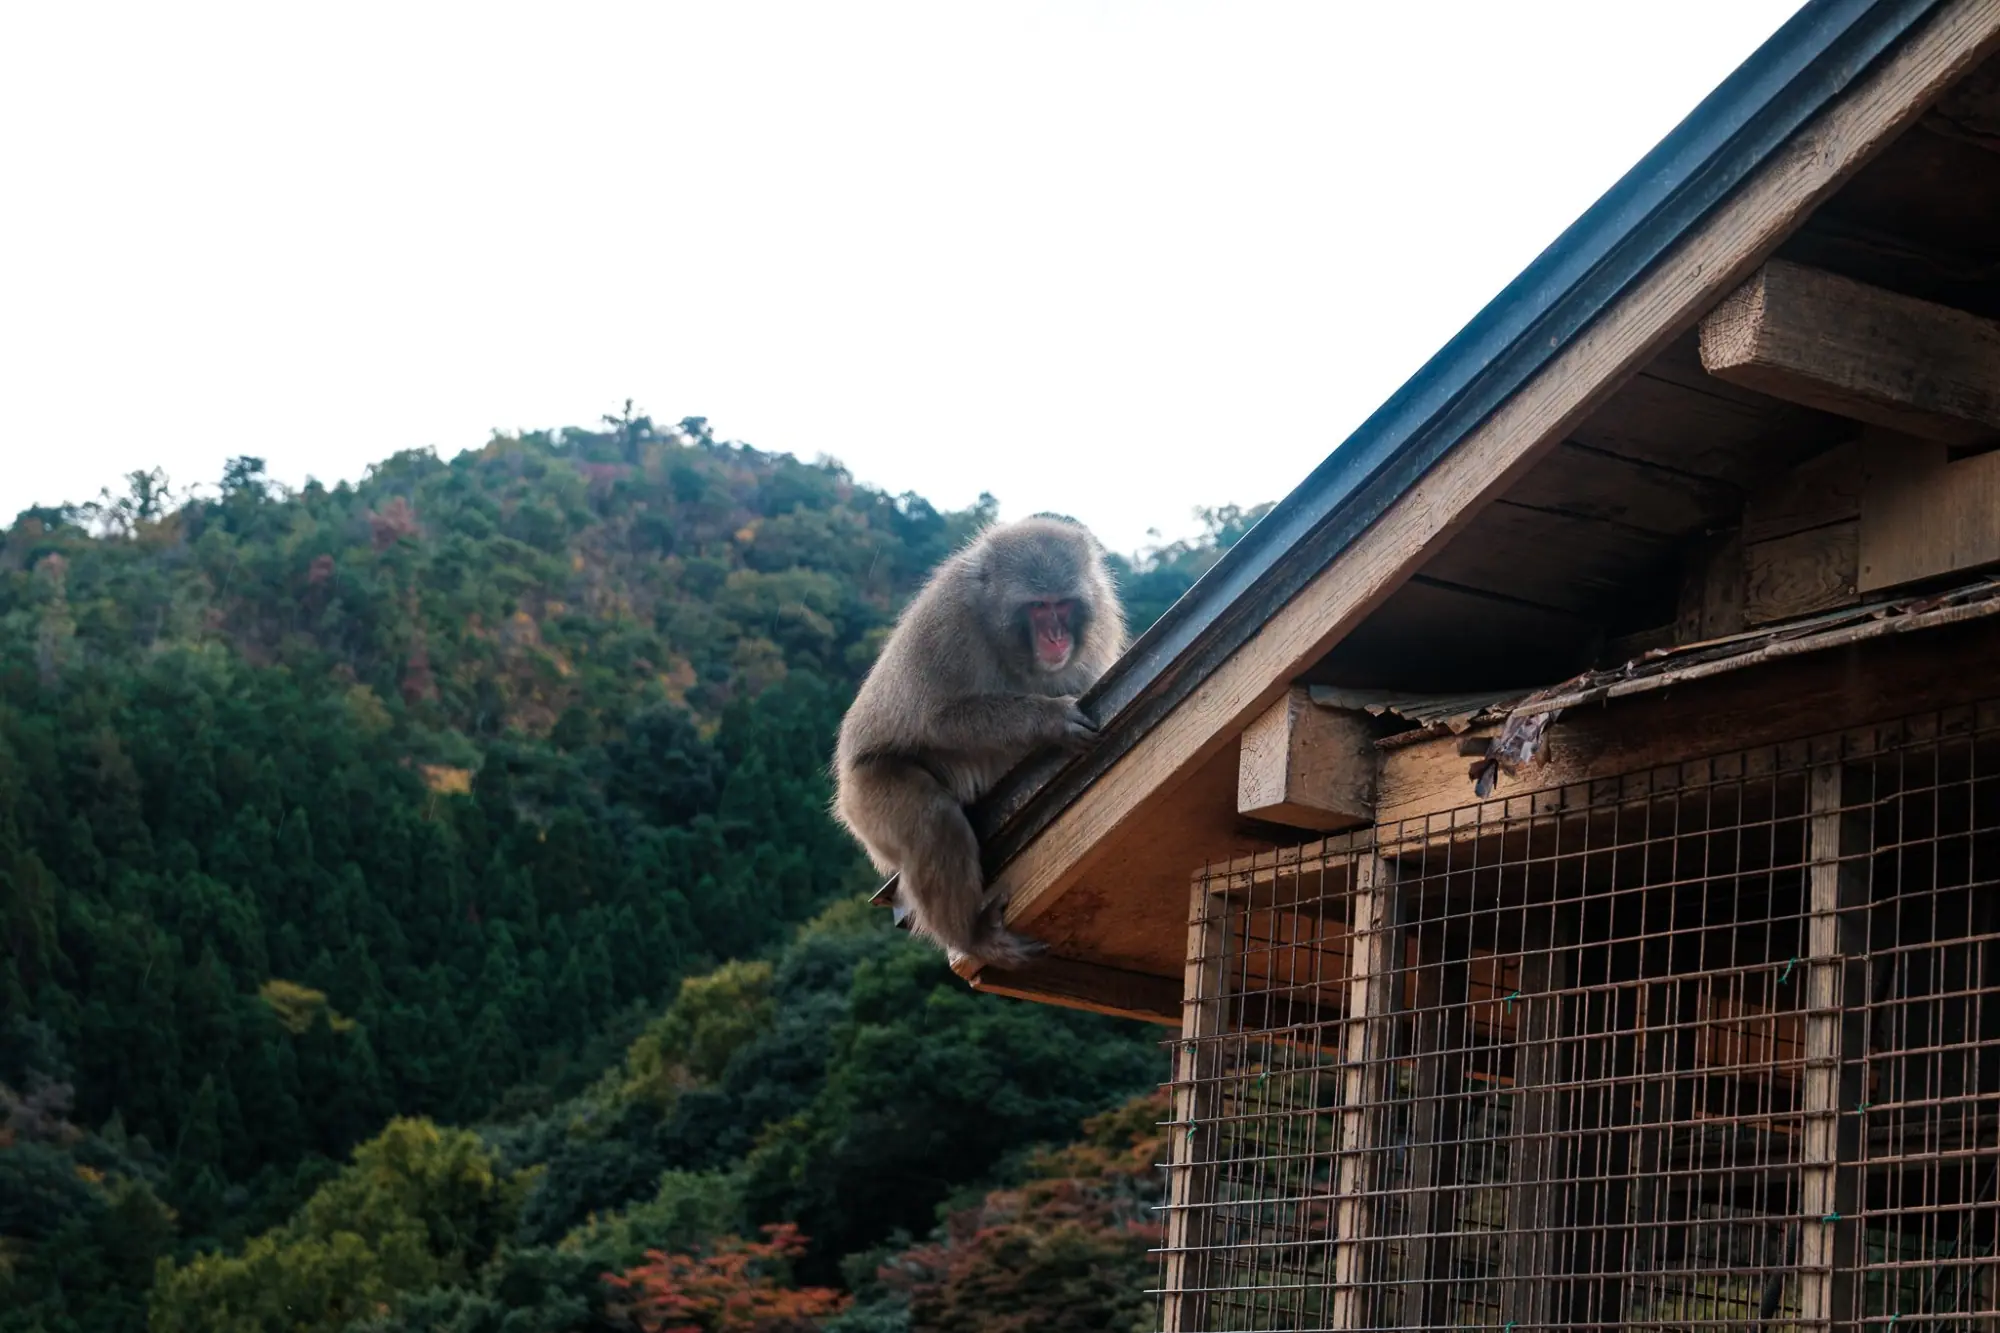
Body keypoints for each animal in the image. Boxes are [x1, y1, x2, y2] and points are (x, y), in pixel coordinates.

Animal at [832, 515, 1127, 969]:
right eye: (1038, 607)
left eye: (1062, 604)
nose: (1056, 637)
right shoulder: (947, 619)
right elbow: (935, 718)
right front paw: (1050, 720)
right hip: (865, 796)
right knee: (933, 818)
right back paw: (971, 937)